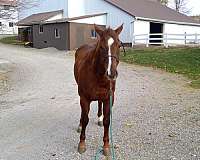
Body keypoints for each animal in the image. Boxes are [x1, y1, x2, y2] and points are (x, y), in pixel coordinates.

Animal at [74, 24, 122, 156]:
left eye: (119, 45)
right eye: (101, 47)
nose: (111, 73)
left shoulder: (109, 98)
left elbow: (107, 121)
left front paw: (106, 146)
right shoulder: (84, 98)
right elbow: (85, 118)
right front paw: (81, 144)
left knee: (99, 103)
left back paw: (99, 118)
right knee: (83, 113)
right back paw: (80, 125)